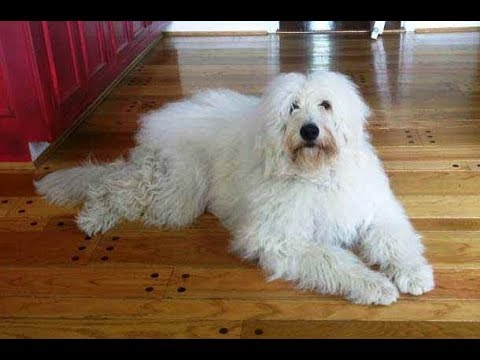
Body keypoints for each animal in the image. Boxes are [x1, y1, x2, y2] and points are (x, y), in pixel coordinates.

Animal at [36, 71, 436, 306]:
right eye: (293, 107)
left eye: (325, 104)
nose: (309, 131)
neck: (315, 174)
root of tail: (161, 120)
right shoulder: (280, 238)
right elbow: (334, 261)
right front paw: (375, 286)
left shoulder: (375, 211)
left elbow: (395, 240)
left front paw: (413, 274)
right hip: (175, 194)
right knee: (115, 184)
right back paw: (93, 215)